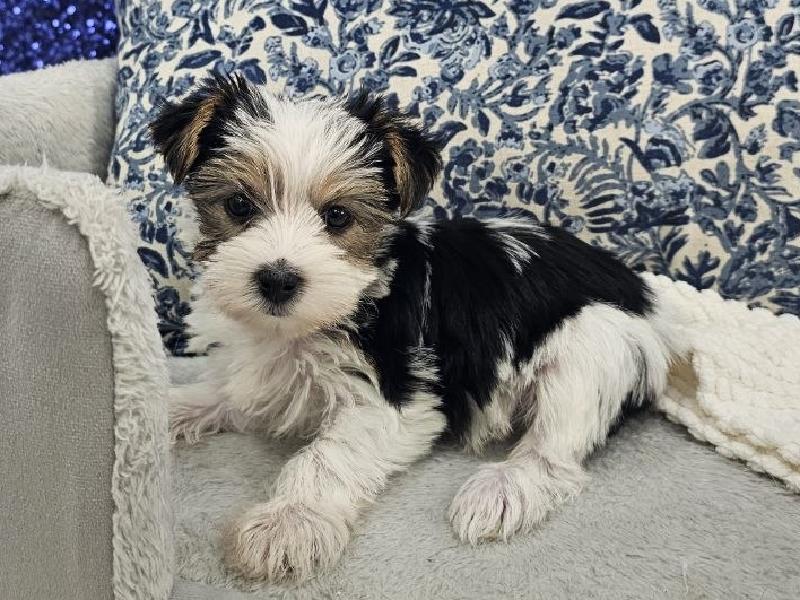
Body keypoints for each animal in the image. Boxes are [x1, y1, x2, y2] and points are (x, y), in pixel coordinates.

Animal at [152, 74, 684, 582]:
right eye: (239, 206)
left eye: (338, 216)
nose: (277, 279)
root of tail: (644, 296)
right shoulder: (256, 372)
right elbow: (211, 395)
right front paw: (154, 413)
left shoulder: (399, 397)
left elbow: (327, 457)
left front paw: (289, 523)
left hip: (592, 343)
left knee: (555, 452)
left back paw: (502, 488)